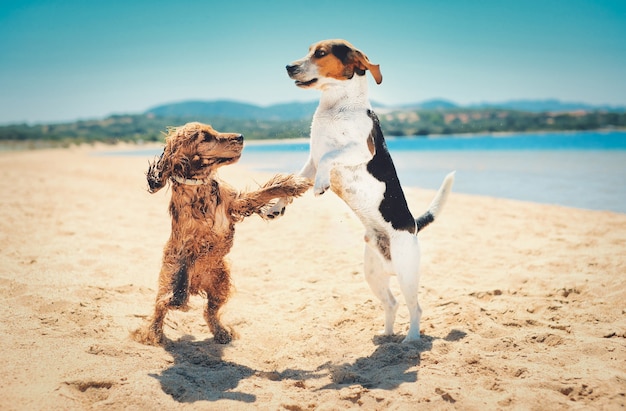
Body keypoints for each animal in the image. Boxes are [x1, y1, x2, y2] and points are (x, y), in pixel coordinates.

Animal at [132, 121, 310, 344]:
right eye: (206, 137)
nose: (241, 136)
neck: (200, 187)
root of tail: (198, 285)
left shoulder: (236, 203)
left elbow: (264, 192)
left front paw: (292, 185)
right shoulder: (187, 246)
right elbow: (180, 283)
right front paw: (175, 300)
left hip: (221, 285)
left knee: (210, 312)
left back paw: (221, 332)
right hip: (170, 277)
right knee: (160, 306)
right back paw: (154, 332)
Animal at [264, 38, 454, 342]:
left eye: (320, 53)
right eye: (308, 50)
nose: (288, 67)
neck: (337, 106)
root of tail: (413, 226)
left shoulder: (357, 151)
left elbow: (331, 158)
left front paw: (321, 185)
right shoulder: (311, 162)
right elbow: (291, 187)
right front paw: (276, 207)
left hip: (407, 273)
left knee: (416, 307)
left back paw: (411, 339)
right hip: (373, 275)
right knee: (392, 303)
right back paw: (386, 335)